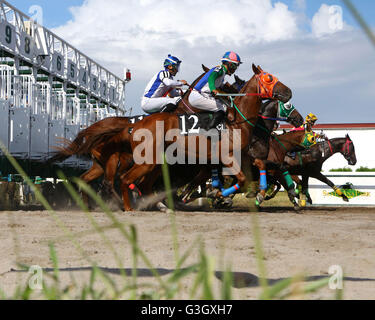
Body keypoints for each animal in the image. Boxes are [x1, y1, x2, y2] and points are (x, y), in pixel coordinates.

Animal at [120, 63, 294, 211]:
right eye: (269, 78)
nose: (289, 92)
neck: (237, 121)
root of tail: (136, 125)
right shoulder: (226, 157)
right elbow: (241, 180)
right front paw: (218, 195)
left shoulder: (243, 155)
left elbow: (259, 167)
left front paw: (258, 194)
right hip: (149, 161)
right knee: (127, 179)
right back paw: (131, 207)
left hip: (157, 162)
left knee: (144, 184)